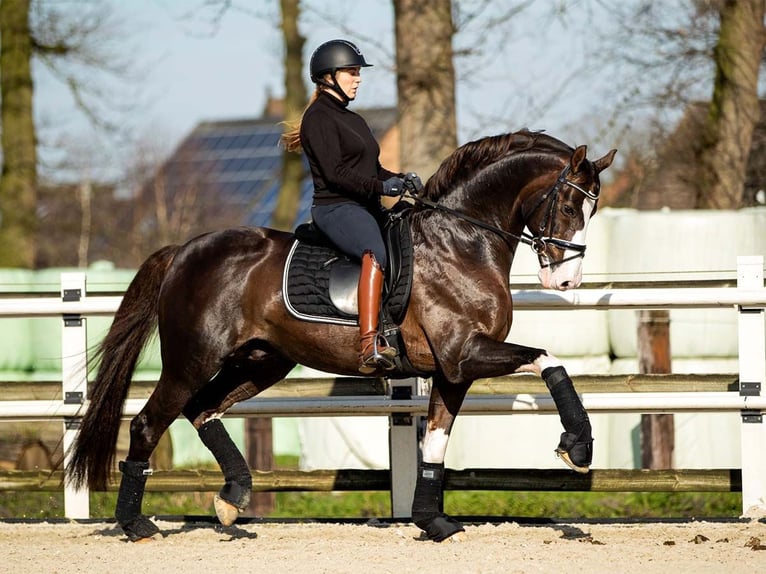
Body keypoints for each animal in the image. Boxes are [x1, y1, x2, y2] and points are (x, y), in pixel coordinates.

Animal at [66, 129, 616, 544]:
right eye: (570, 207)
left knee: (204, 409)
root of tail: (183, 250)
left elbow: (436, 443)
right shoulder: (464, 354)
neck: (463, 241)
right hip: (192, 361)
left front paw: (432, 521)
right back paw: (136, 524)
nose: (566, 283)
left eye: (592, 213)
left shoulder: (453, 370)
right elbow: (549, 360)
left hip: (261, 361)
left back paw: (231, 500)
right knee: (149, 423)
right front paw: (578, 445)